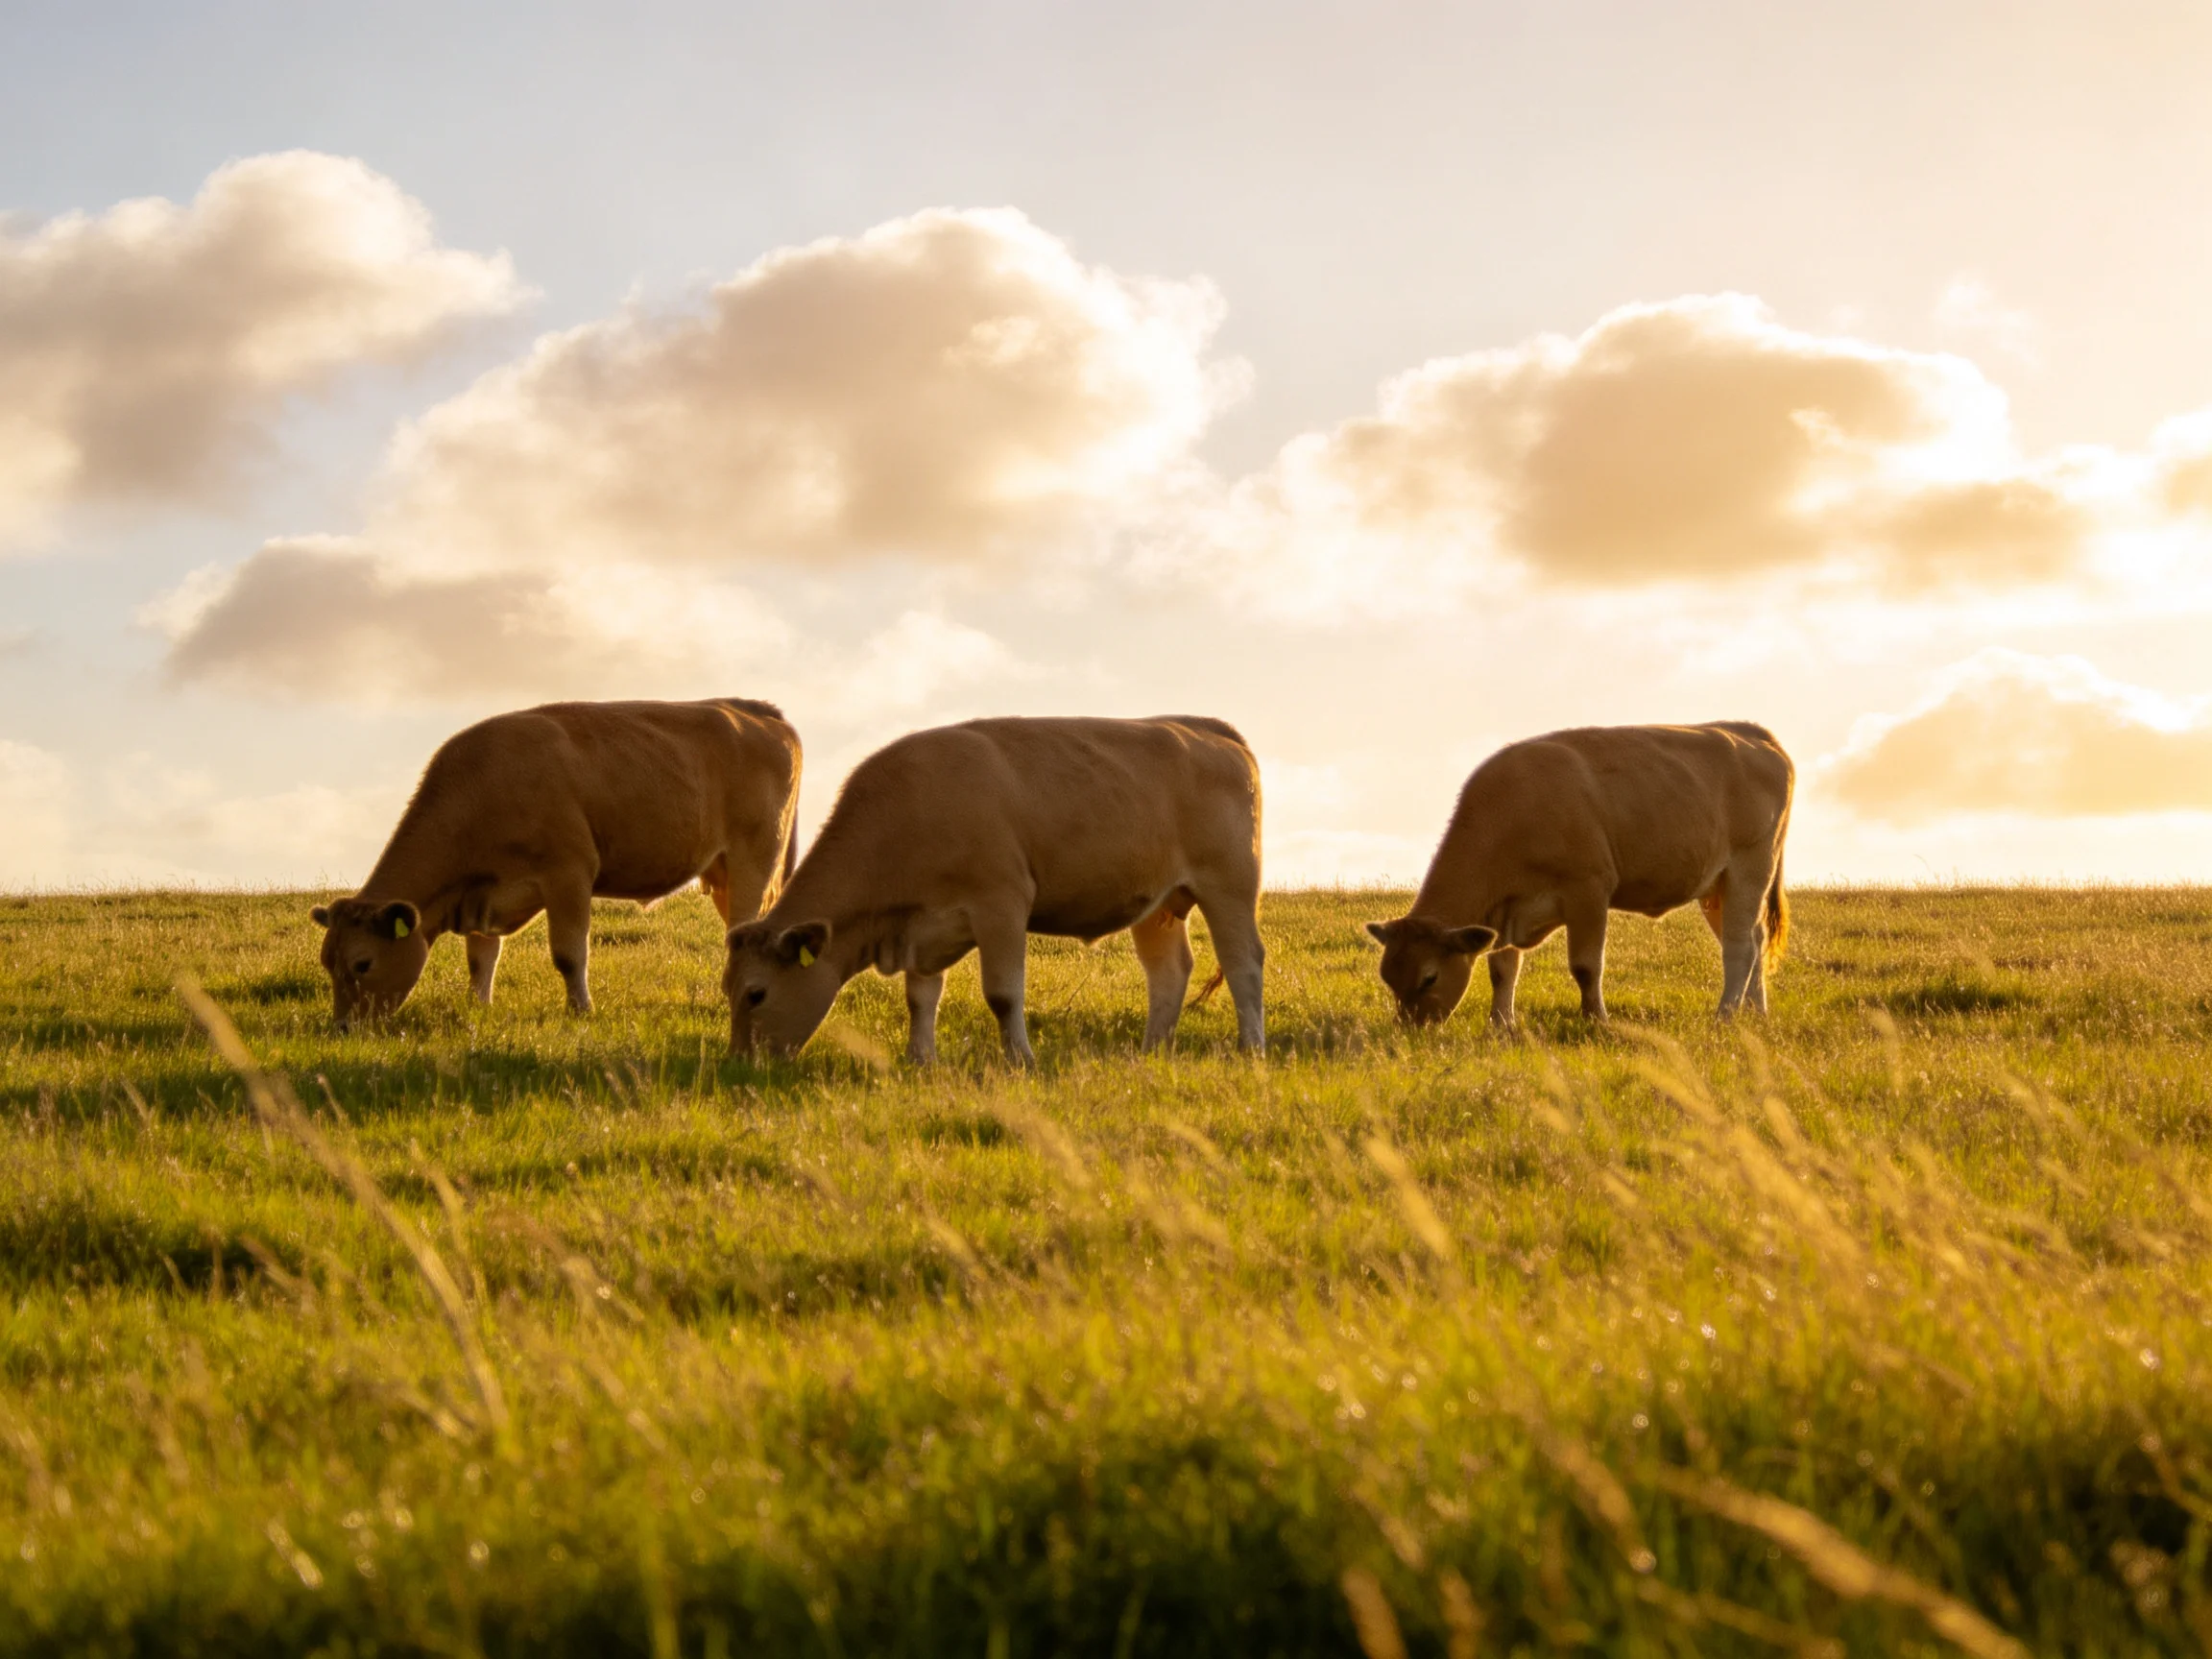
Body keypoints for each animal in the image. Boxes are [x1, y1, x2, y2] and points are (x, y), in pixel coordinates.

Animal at [312, 698, 800, 1028]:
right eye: (327, 961)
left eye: (362, 963)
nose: (343, 1028)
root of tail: (753, 709)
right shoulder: (483, 895)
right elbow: (480, 958)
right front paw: (477, 1006)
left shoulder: (569, 874)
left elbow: (568, 954)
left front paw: (581, 1009)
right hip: (721, 872)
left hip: (753, 859)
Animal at [724, 715, 1265, 1064]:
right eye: (728, 989)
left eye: (756, 993)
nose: (739, 1064)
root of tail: (1209, 729)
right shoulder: (921, 928)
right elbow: (920, 997)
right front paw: (919, 1059)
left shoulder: (1001, 905)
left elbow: (1003, 994)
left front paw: (1019, 1059)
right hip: (1158, 905)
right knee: (1167, 970)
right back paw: (1152, 1049)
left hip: (1229, 886)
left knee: (1243, 961)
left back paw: (1251, 1047)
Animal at [1368, 722, 1792, 1027]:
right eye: (1387, 977)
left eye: (1429, 977)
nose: (1412, 1030)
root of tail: (1750, 731)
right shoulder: (1508, 911)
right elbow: (1502, 969)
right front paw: (1501, 1025)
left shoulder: (1588, 890)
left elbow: (1586, 967)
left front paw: (1595, 1021)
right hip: (1717, 887)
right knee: (1755, 939)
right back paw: (1755, 1013)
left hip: (1750, 866)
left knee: (1739, 946)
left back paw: (1725, 1016)